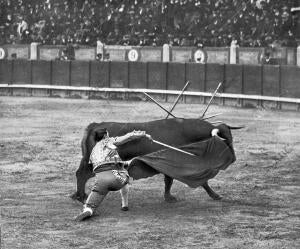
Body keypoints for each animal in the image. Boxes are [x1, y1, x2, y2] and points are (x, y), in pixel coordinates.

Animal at [71, 117, 241, 205]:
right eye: (225, 139)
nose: (234, 158)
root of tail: (96, 125)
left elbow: (172, 181)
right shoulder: (175, 163)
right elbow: (198, 181)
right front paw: (215, 195)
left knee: (79, 173)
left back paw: (78, 195)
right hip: (95, 163)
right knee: (82, 175)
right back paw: (81, 196)